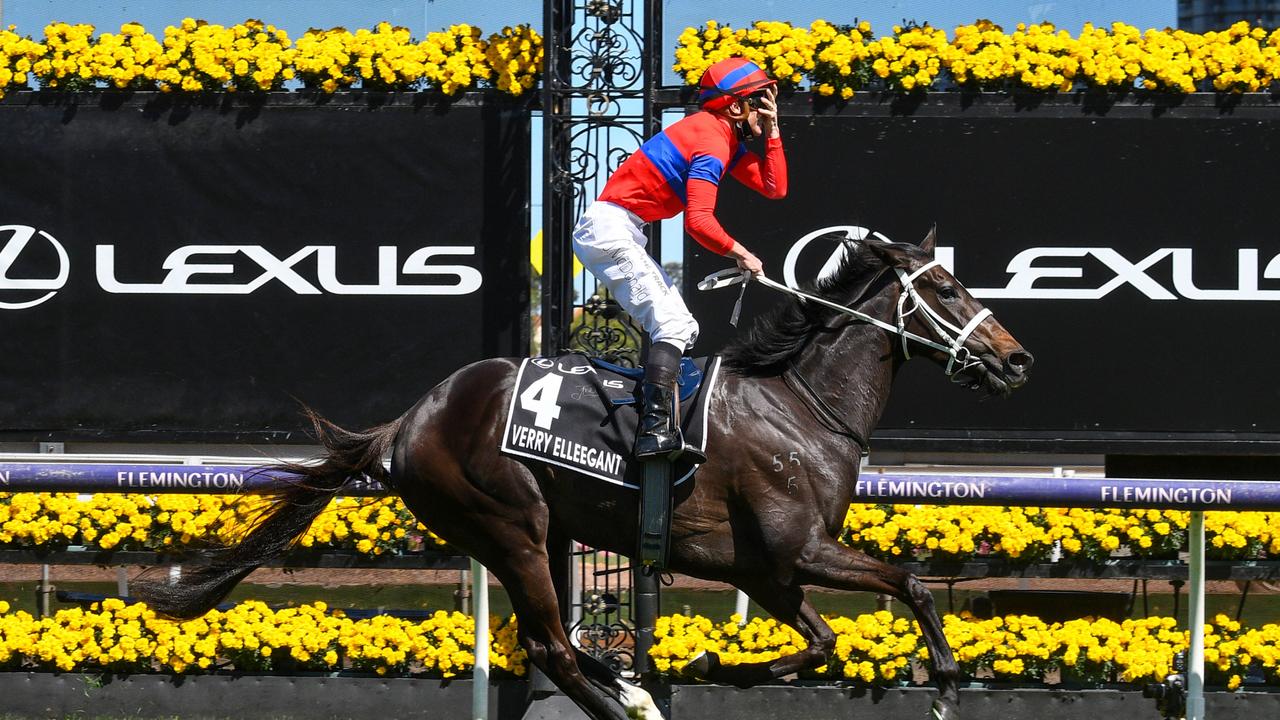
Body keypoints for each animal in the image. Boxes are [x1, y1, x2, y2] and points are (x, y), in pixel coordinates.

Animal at [137, 229, 1029, 717]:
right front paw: (947, 682)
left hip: (540, 532)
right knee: (550, 646)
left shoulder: (762, 569)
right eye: (945, 286)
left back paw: (634, 688)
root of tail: (412, 419)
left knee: (558, 640)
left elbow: (822, 640)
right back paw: (625, 700)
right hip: (510, 526)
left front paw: (716, 665)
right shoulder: (794, 549)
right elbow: (909, 584)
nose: (1017, 360)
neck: (800, 405)